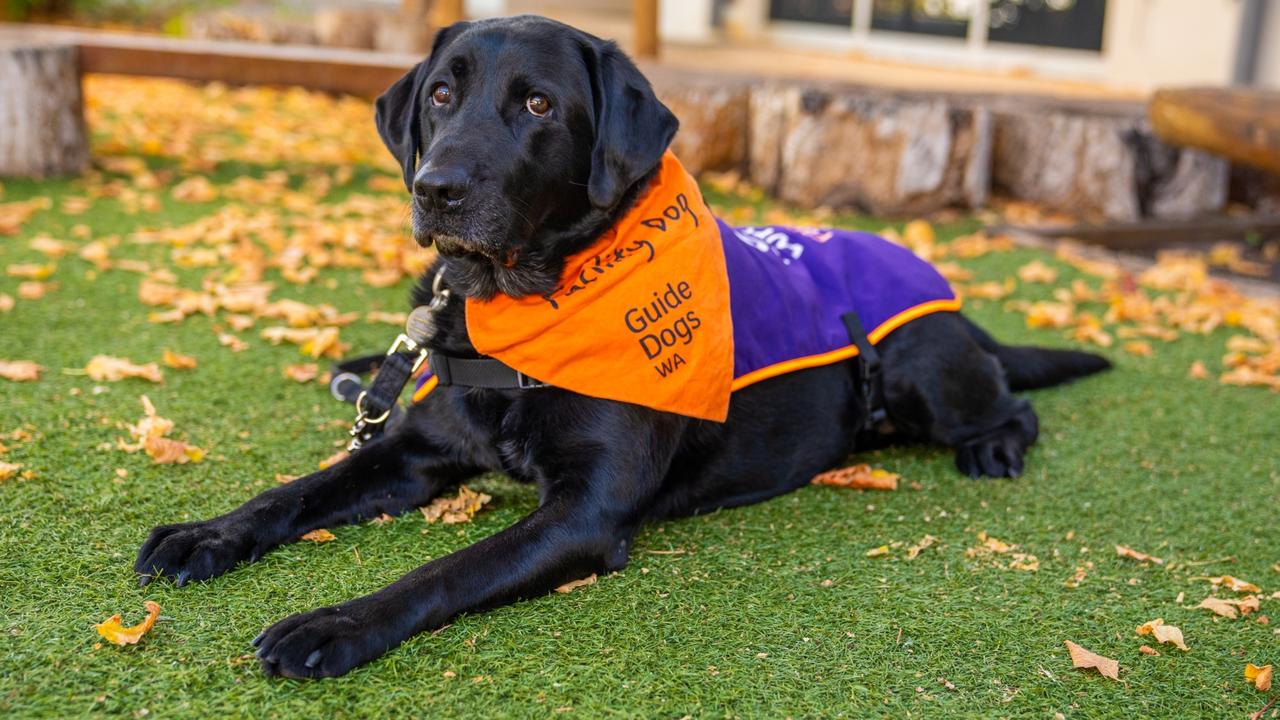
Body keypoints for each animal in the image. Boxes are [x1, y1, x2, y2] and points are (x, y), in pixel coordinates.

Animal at [135, 16, 1105, 676]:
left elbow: (444, 569)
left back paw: (994, 448)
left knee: (1010, 403)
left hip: (919, 368)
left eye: (537, 103)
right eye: (441, 94)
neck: (523, 308)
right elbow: (295, 490)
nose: (435, 189)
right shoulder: (412, 450)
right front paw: (205, 534)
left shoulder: (584, 512)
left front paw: (331, 625)